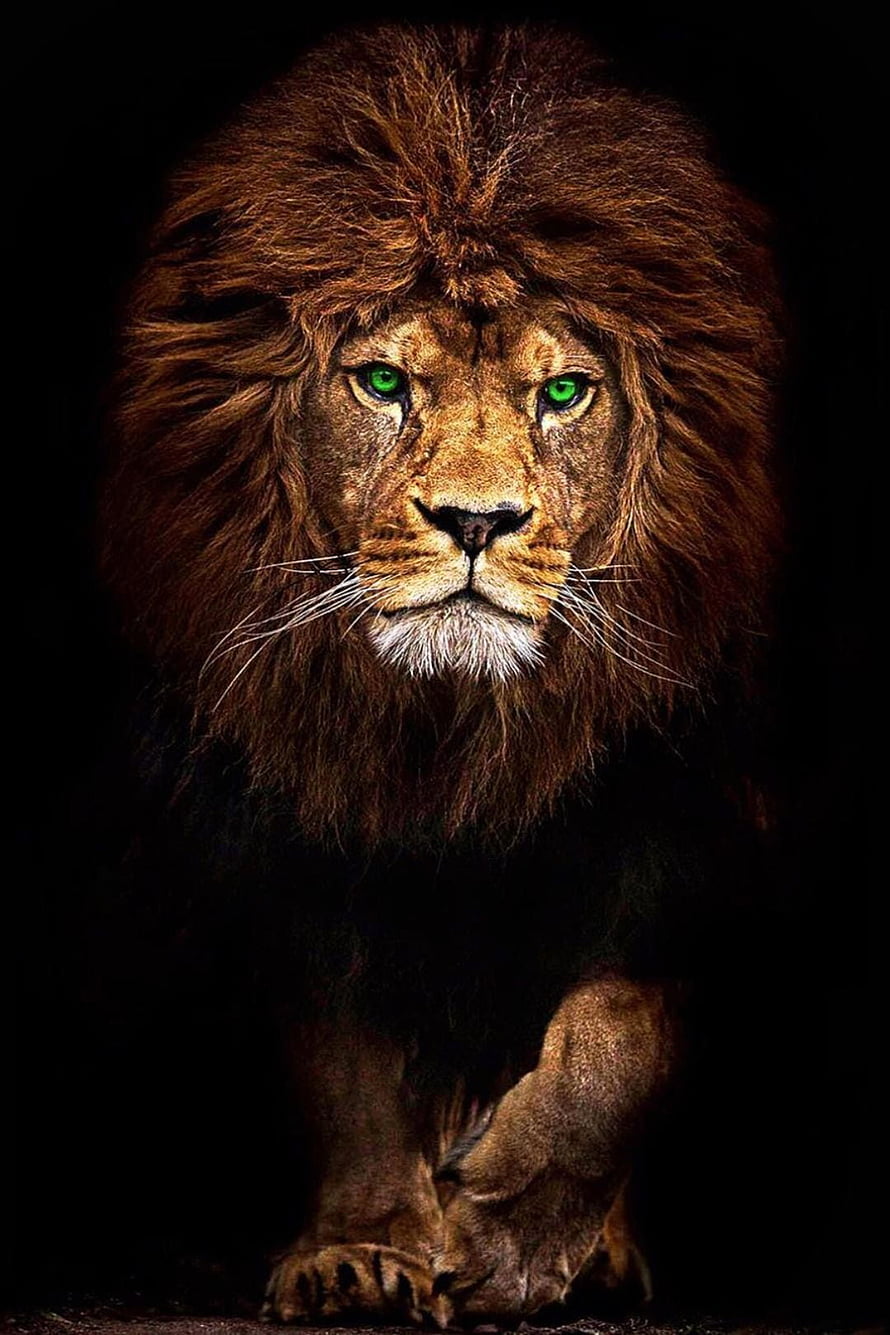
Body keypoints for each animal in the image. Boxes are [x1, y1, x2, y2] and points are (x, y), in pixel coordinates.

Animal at [103, 21, 781, 1326]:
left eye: (562, 392)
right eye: (381, 382)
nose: (475, 522)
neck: (452, 732)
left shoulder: (694, 808)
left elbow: (620, 1028)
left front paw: (513, 1239)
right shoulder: (298, 819)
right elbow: (346, 1055)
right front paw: (366, 1249)